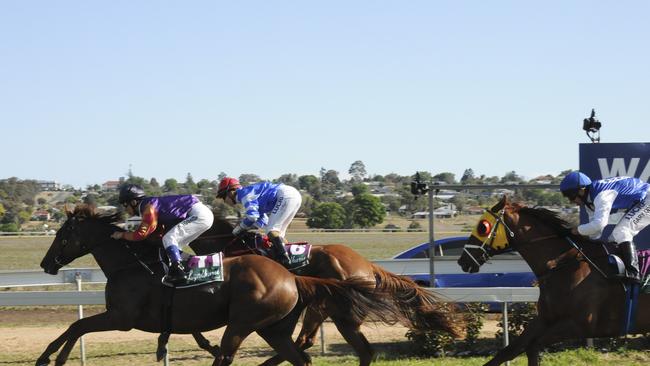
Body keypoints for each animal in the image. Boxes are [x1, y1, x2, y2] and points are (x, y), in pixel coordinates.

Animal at [36, 206, 400, 366]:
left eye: (63, 234)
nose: (46, 264)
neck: (133, 264)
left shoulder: (122, 318)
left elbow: (77, 326)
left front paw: (50, 357)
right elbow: (77, 327)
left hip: (247, 323)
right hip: (278, 327)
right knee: (308, 353)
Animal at [180, 219, 458, 364]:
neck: (231, 246)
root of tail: (367, 264)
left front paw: (210, 346)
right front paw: (209, 344)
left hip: (325, 306)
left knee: (306, 340)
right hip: (332, 310)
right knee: (317, 342)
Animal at [456, 197, 648, 366]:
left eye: (482, 227)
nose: (463, 260)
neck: (562, 264)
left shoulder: (580, 324)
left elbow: (533, 346)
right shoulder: (545, 318)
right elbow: (509, 351)